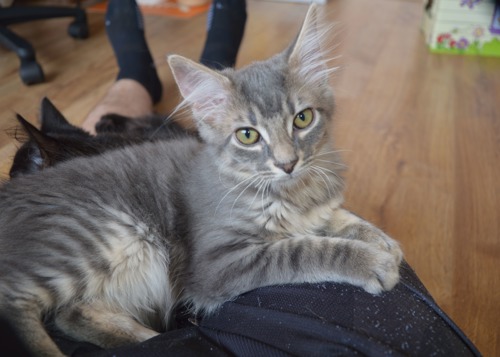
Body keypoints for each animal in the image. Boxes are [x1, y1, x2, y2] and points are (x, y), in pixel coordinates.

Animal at [0, 5, 402, 356]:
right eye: (248, 136)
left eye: (302, 119)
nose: (288, 163)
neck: (289, 190)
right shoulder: (218, 262)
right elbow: (303, 250)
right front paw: (371, 260)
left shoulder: (315, 208)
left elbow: (340, 217)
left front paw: (383, 241)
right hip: (97, 237)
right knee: (20, 303)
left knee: (72, 311)